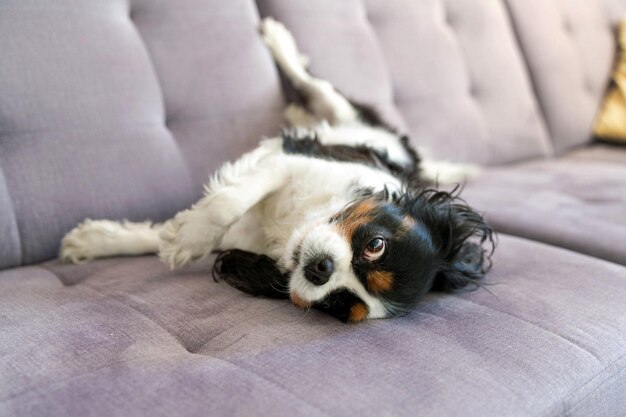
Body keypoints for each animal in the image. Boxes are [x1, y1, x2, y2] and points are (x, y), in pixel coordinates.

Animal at [62, 18, 492, 322]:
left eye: (338, 305)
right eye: (375, 245)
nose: (322, 269)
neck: (297, 224)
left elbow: (160, 232)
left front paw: (95, 241)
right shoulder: (290, 159)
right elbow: (225, 205)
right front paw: (187, 241)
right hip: (344, 110)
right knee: (313, 84)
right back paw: (277, 40)